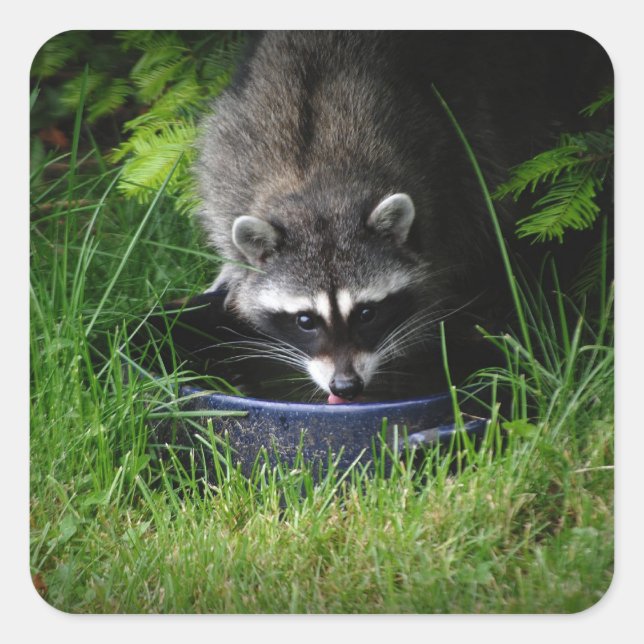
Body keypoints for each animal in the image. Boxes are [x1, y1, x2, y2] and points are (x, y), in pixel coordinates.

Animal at [195, 31, 611, 402]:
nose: (346, 387)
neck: (316, 182)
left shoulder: (441, 180)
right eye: (305, 321)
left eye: (366, 313)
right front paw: (232, 270)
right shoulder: (230, 162)